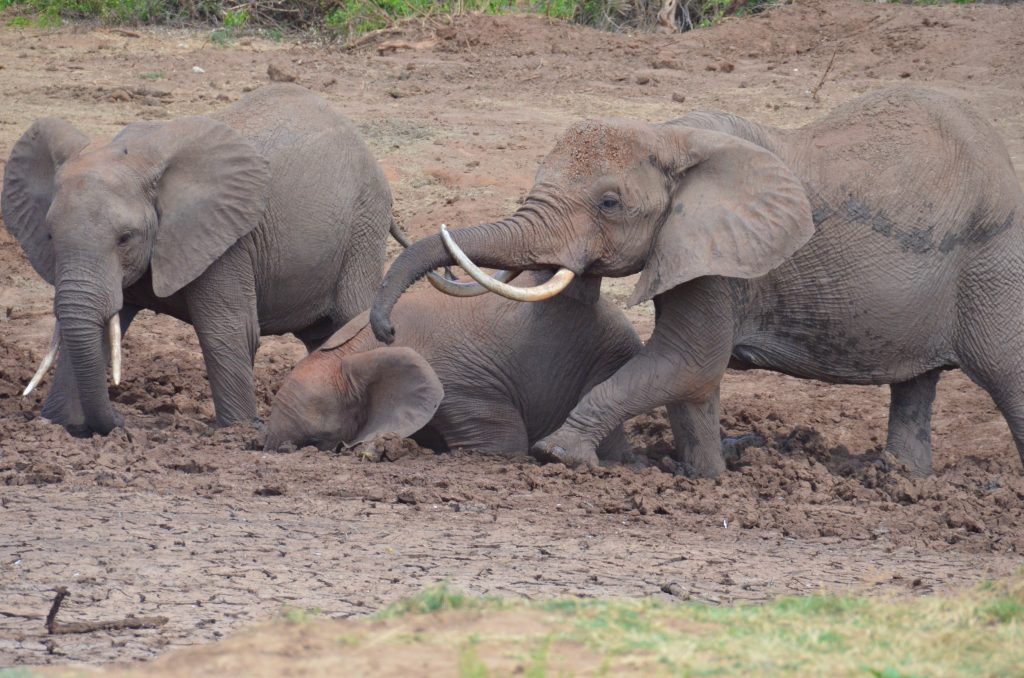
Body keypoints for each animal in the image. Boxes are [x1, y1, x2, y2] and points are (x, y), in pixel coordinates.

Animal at [3, 83, 395, 436]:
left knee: (350, 317)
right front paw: (57, 423)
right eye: (50, 236)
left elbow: (227, 330)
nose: (121, 421)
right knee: (323, 336)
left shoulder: (226, 239)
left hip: (363, 223)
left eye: (125, 238)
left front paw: (238, 430)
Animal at [372, 89, 1024, 477]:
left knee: (1006, 373)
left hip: (993, 259)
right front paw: (703, 481)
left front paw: (558, 455)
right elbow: (692, 377)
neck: (668, 136)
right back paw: (904, 482)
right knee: (916, 388)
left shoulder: (722, 261)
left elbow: (689, 361)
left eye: (610, 203)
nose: (384, 330)